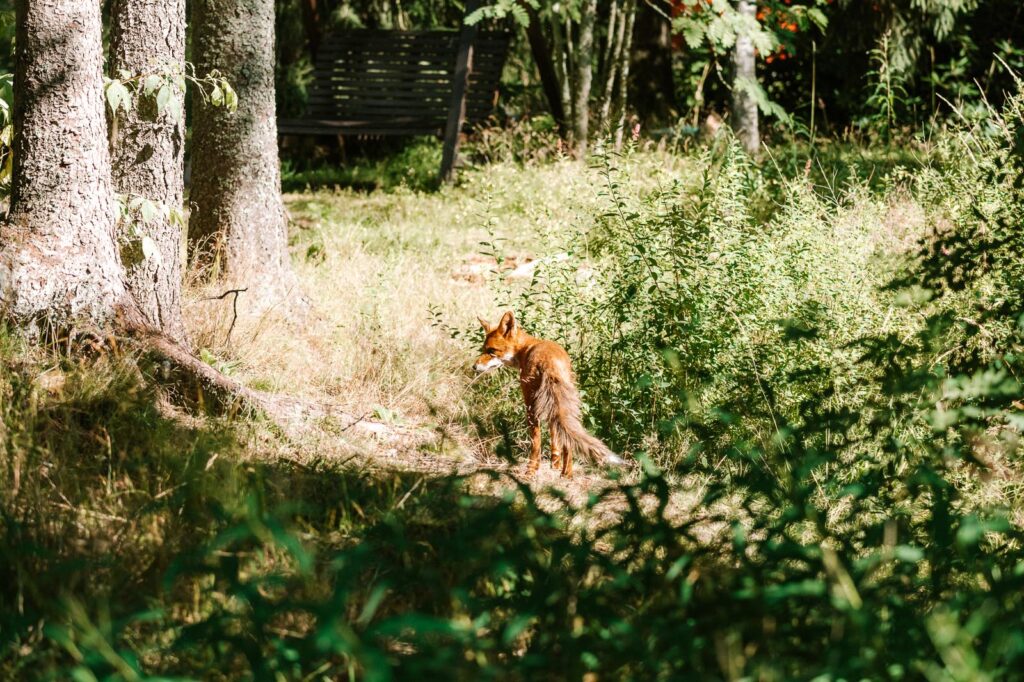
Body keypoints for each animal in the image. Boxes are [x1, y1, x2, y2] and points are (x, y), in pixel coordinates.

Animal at [473, 309, 622, 475]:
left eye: (492, 351)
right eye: (483, 350)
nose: (474, 367)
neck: (526, 349)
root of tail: (550, 362)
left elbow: (540, 440)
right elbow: (555, 440)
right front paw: (555, 466)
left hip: (532, 405)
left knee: (536, 442)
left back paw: (531, 471)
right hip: (568, 403)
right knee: (567, 440)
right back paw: (566, 475)